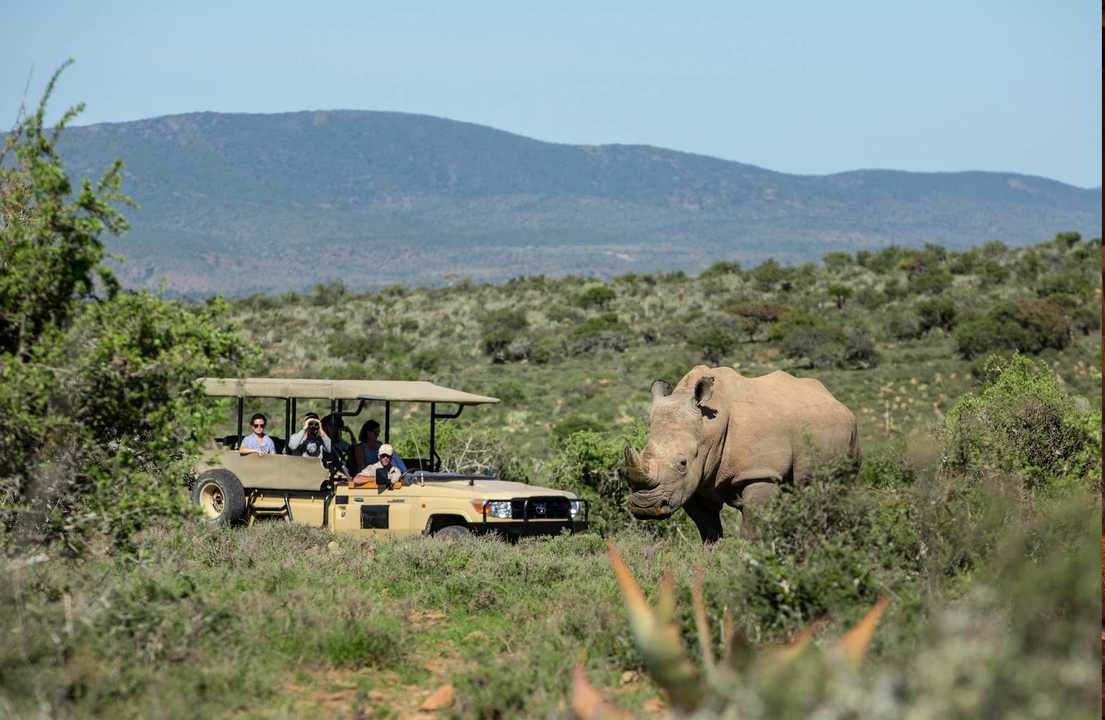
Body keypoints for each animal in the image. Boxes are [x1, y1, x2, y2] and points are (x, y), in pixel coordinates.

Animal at [623, 365, 859, 542]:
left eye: (682, 463)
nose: (645, 507)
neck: (709, 428)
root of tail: (835, 398)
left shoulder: (759, 473)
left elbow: (751, 529)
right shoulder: (690, 484)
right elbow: (708, 530)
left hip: (852, 432)